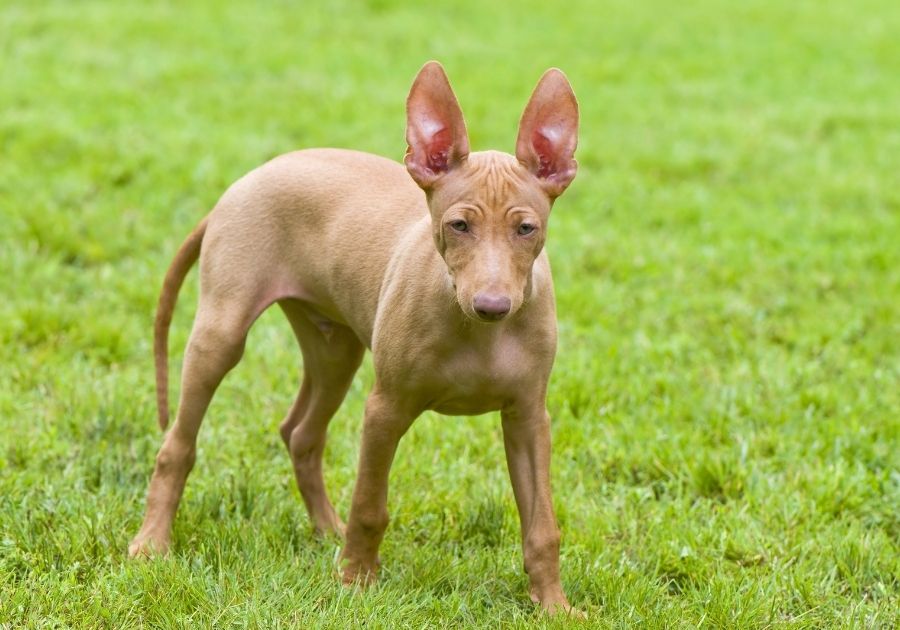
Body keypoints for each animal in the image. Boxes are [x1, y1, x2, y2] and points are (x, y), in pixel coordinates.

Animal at [132, 61, 584, 616]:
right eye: (459, 225)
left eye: (527, 229)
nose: (493, 306)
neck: (477, 333)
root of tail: (247, 179)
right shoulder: (385, 409)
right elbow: (370, 504)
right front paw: (354, 582)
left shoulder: (528, 417)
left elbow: (543, 526)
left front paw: (554, 605)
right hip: (221, 335)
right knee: (178, 444)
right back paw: (152, 543)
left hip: (335, 348)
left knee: (300, 433)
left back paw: (328, 530)